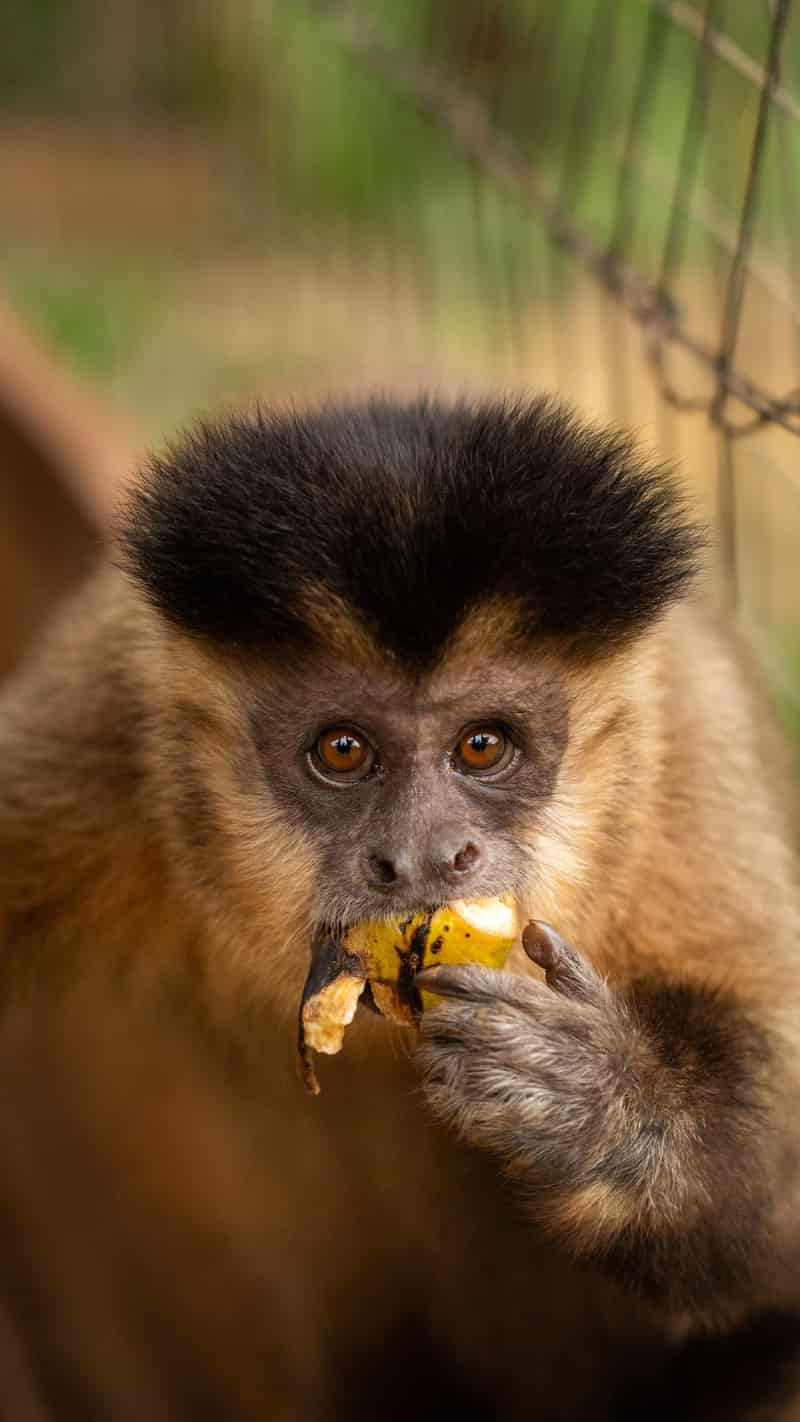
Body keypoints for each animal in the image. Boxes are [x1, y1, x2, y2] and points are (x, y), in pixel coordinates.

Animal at [0, 393, 799, 1419]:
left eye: (482, 747)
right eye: (342, 751)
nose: (422, 857)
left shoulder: (685, 757)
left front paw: (611, 1103)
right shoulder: (101, 718)